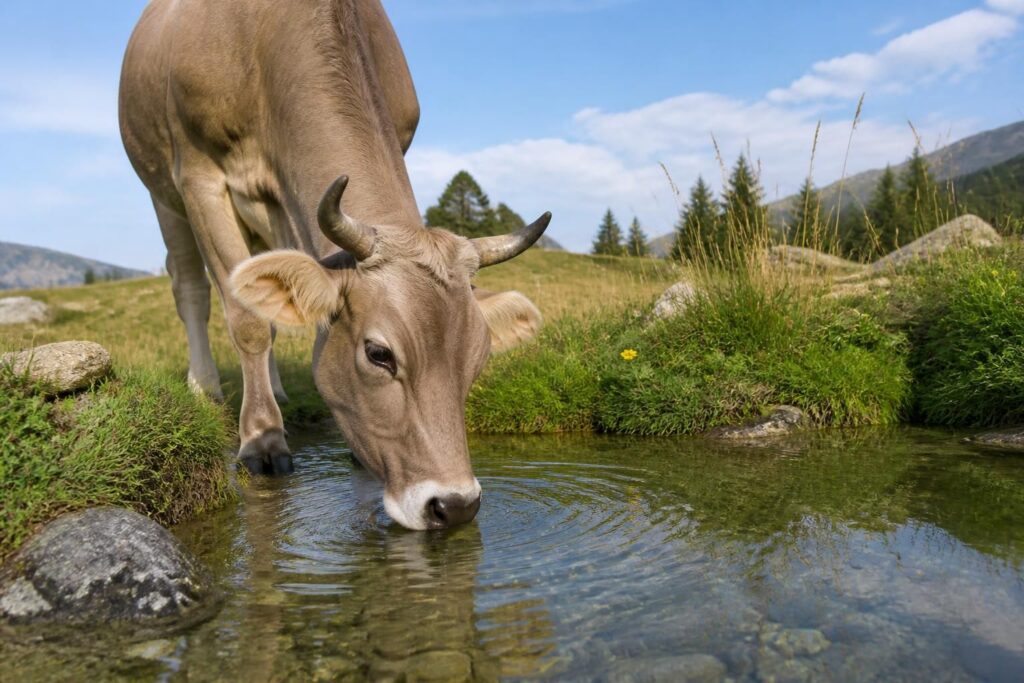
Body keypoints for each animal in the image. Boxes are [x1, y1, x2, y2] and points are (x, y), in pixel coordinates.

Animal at [118, 0, 551, 530]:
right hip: (163, 193)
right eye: (379, 354)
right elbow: (245, 319)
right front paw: (262, 439)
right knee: (192, 290)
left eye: (479, 356)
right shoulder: (198, 174)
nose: (455, 505)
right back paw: (206, 389)